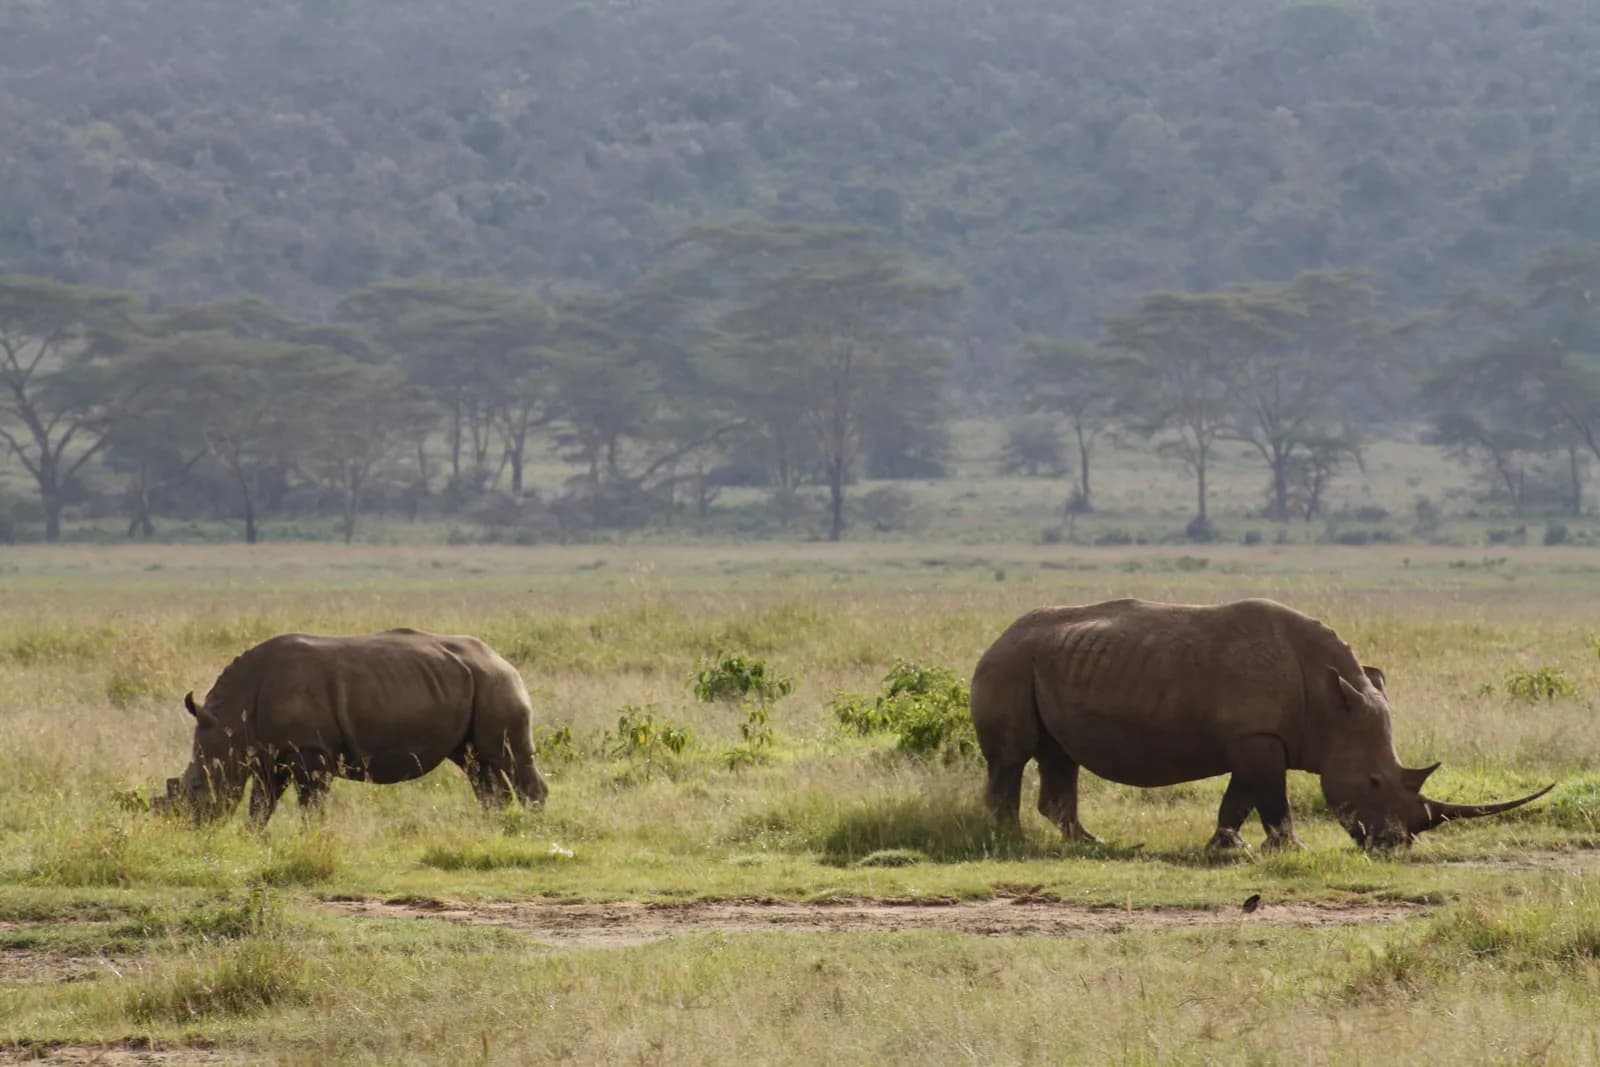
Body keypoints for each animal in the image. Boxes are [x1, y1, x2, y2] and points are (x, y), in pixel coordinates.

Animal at [159, 628, 549, 824]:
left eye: (197, 787)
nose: (187, 828)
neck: (231, 721)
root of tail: (502, 658)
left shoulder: (311, 753)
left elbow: (311, 806)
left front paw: (311, 839)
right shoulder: (269, 757)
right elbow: (261, 806)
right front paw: (254, 842)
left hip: (495, 683)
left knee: (508, 758)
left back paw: (530, 829)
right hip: (475, 683)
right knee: (477, 765)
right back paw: (491, 828)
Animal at [971, 597, 1553, 850]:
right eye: (1372, 782)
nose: (1394, 845)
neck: (1331, 702)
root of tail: (997, 636)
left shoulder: (1254, 738)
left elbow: (1241, 799)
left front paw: (1229, 847)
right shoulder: (1257, 738)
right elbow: (1272, 799)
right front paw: (1288, 850)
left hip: (1040, 662)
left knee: (1059, 754)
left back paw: (1089, 843)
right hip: (1009, 664)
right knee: (1011, 758)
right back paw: (1010, 842)